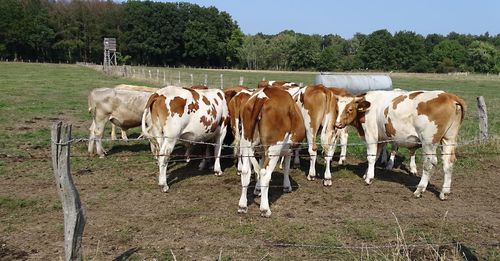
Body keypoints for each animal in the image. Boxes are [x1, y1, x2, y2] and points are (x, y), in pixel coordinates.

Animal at [238, 86, 304, 216]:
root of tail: (261, 96)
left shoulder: (262, 151)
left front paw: (257, 189)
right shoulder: (288, 150)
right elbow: (286, 167)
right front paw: (287, 186)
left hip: (246, 142)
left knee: (246, 172)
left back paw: (242, 205)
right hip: (274, 147)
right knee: (265, 173)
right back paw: (265, 208)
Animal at [334, 89, 466, 199]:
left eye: (350, 109)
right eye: (337, 109)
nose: (337, 124)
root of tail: (448, 96)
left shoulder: (371, 134)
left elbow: (370, 157)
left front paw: (369, 178)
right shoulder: (380, 139)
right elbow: (375, 156)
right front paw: (367, 174)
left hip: (428, 142)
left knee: (429, 163)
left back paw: (419, 190)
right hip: (449, 139)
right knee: (448, 162)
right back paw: (444, 192)